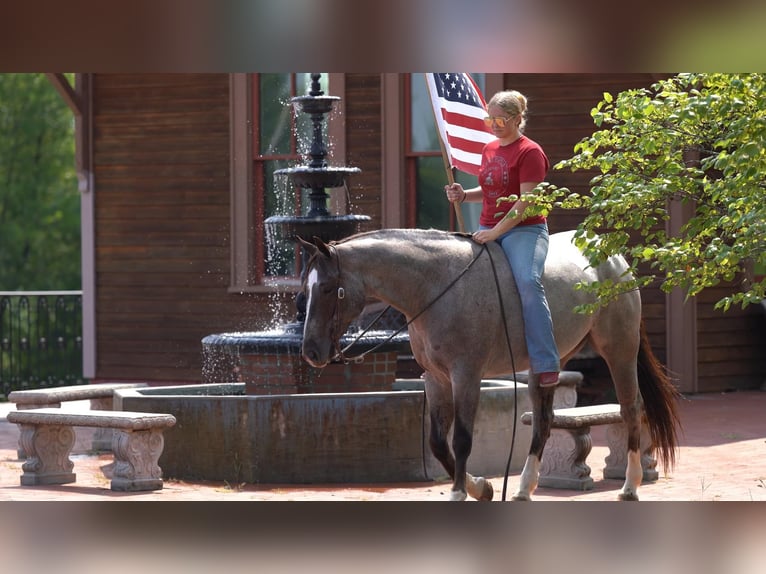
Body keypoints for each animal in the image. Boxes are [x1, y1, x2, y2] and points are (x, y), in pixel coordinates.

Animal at [300, 227, 684, 502]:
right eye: (306, 289)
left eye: (327, 288)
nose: (311, 351)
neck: (436, 285)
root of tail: (615, 258)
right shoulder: (435, 379)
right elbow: (437, 443)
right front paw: (481, 487)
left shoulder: (466, 376)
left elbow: (462, 440)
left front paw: (459, 492)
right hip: (549, 364)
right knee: (544, 421)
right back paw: (524, 488)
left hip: (619, 350)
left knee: (631, 408)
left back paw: (630, 486)